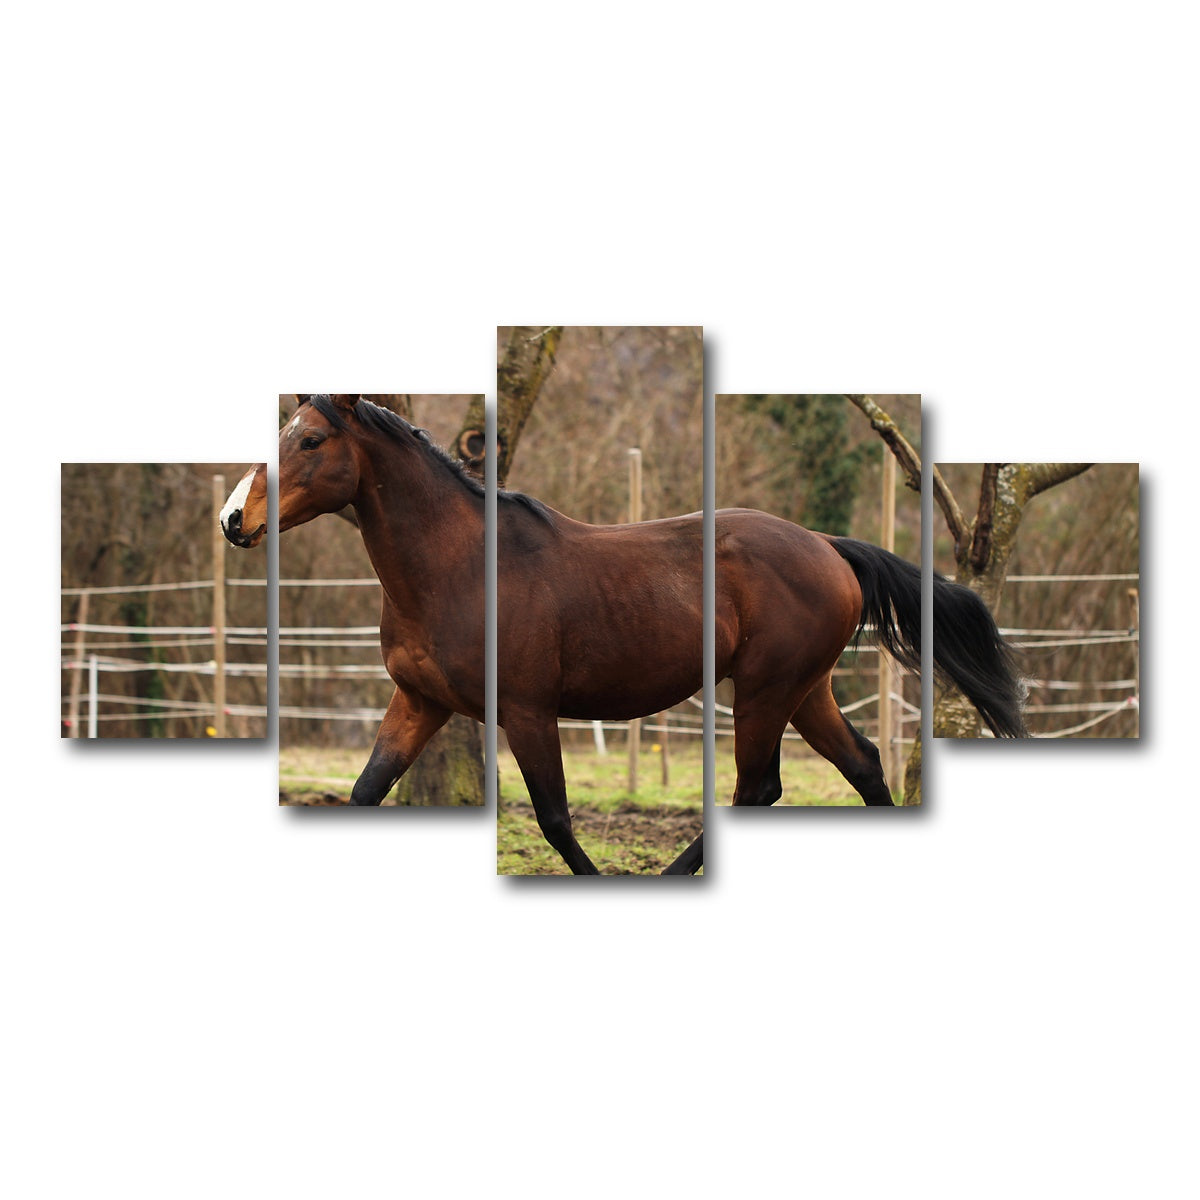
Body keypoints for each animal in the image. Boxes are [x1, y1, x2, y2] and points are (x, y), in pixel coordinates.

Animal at [221, 394, 1024, 875]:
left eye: (310, 439)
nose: (234, 520)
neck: (458, 567)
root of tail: (828, 547)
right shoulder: (418, 703)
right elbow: (363, 793)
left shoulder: (527, 711)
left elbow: (553, 819)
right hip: (804, 690)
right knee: (859, 764)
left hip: (766, 690)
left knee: (758, 787)